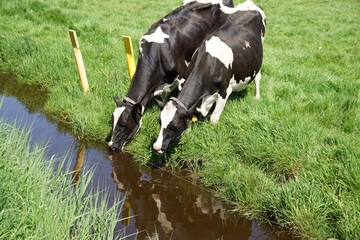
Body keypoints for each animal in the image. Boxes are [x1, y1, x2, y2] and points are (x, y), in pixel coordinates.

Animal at [153, 0, 266, 153]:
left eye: (173, 126)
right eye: (159, 121)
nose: (156, 147)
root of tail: (251, 4)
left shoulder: (225, 91)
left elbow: (213, 119)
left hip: (259, 57)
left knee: (258, 78)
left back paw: (257, 96)